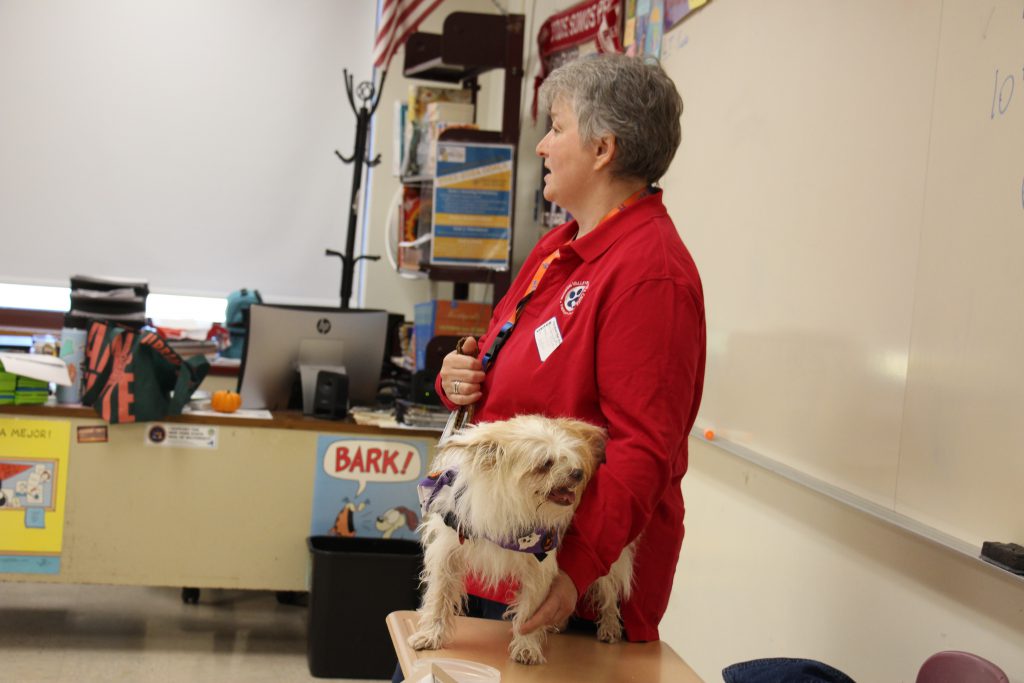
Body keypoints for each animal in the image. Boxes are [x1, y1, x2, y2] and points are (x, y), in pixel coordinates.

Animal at [405, 413, 630, 663]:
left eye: (569, 459)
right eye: (546, 463)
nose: (578, 473)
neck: (513, 504)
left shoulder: (539, 563)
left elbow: (531, 610)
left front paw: (526, 646)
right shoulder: (448, 553)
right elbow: (439, 596)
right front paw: (430, 634)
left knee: (608, 591)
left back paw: (609, 626)